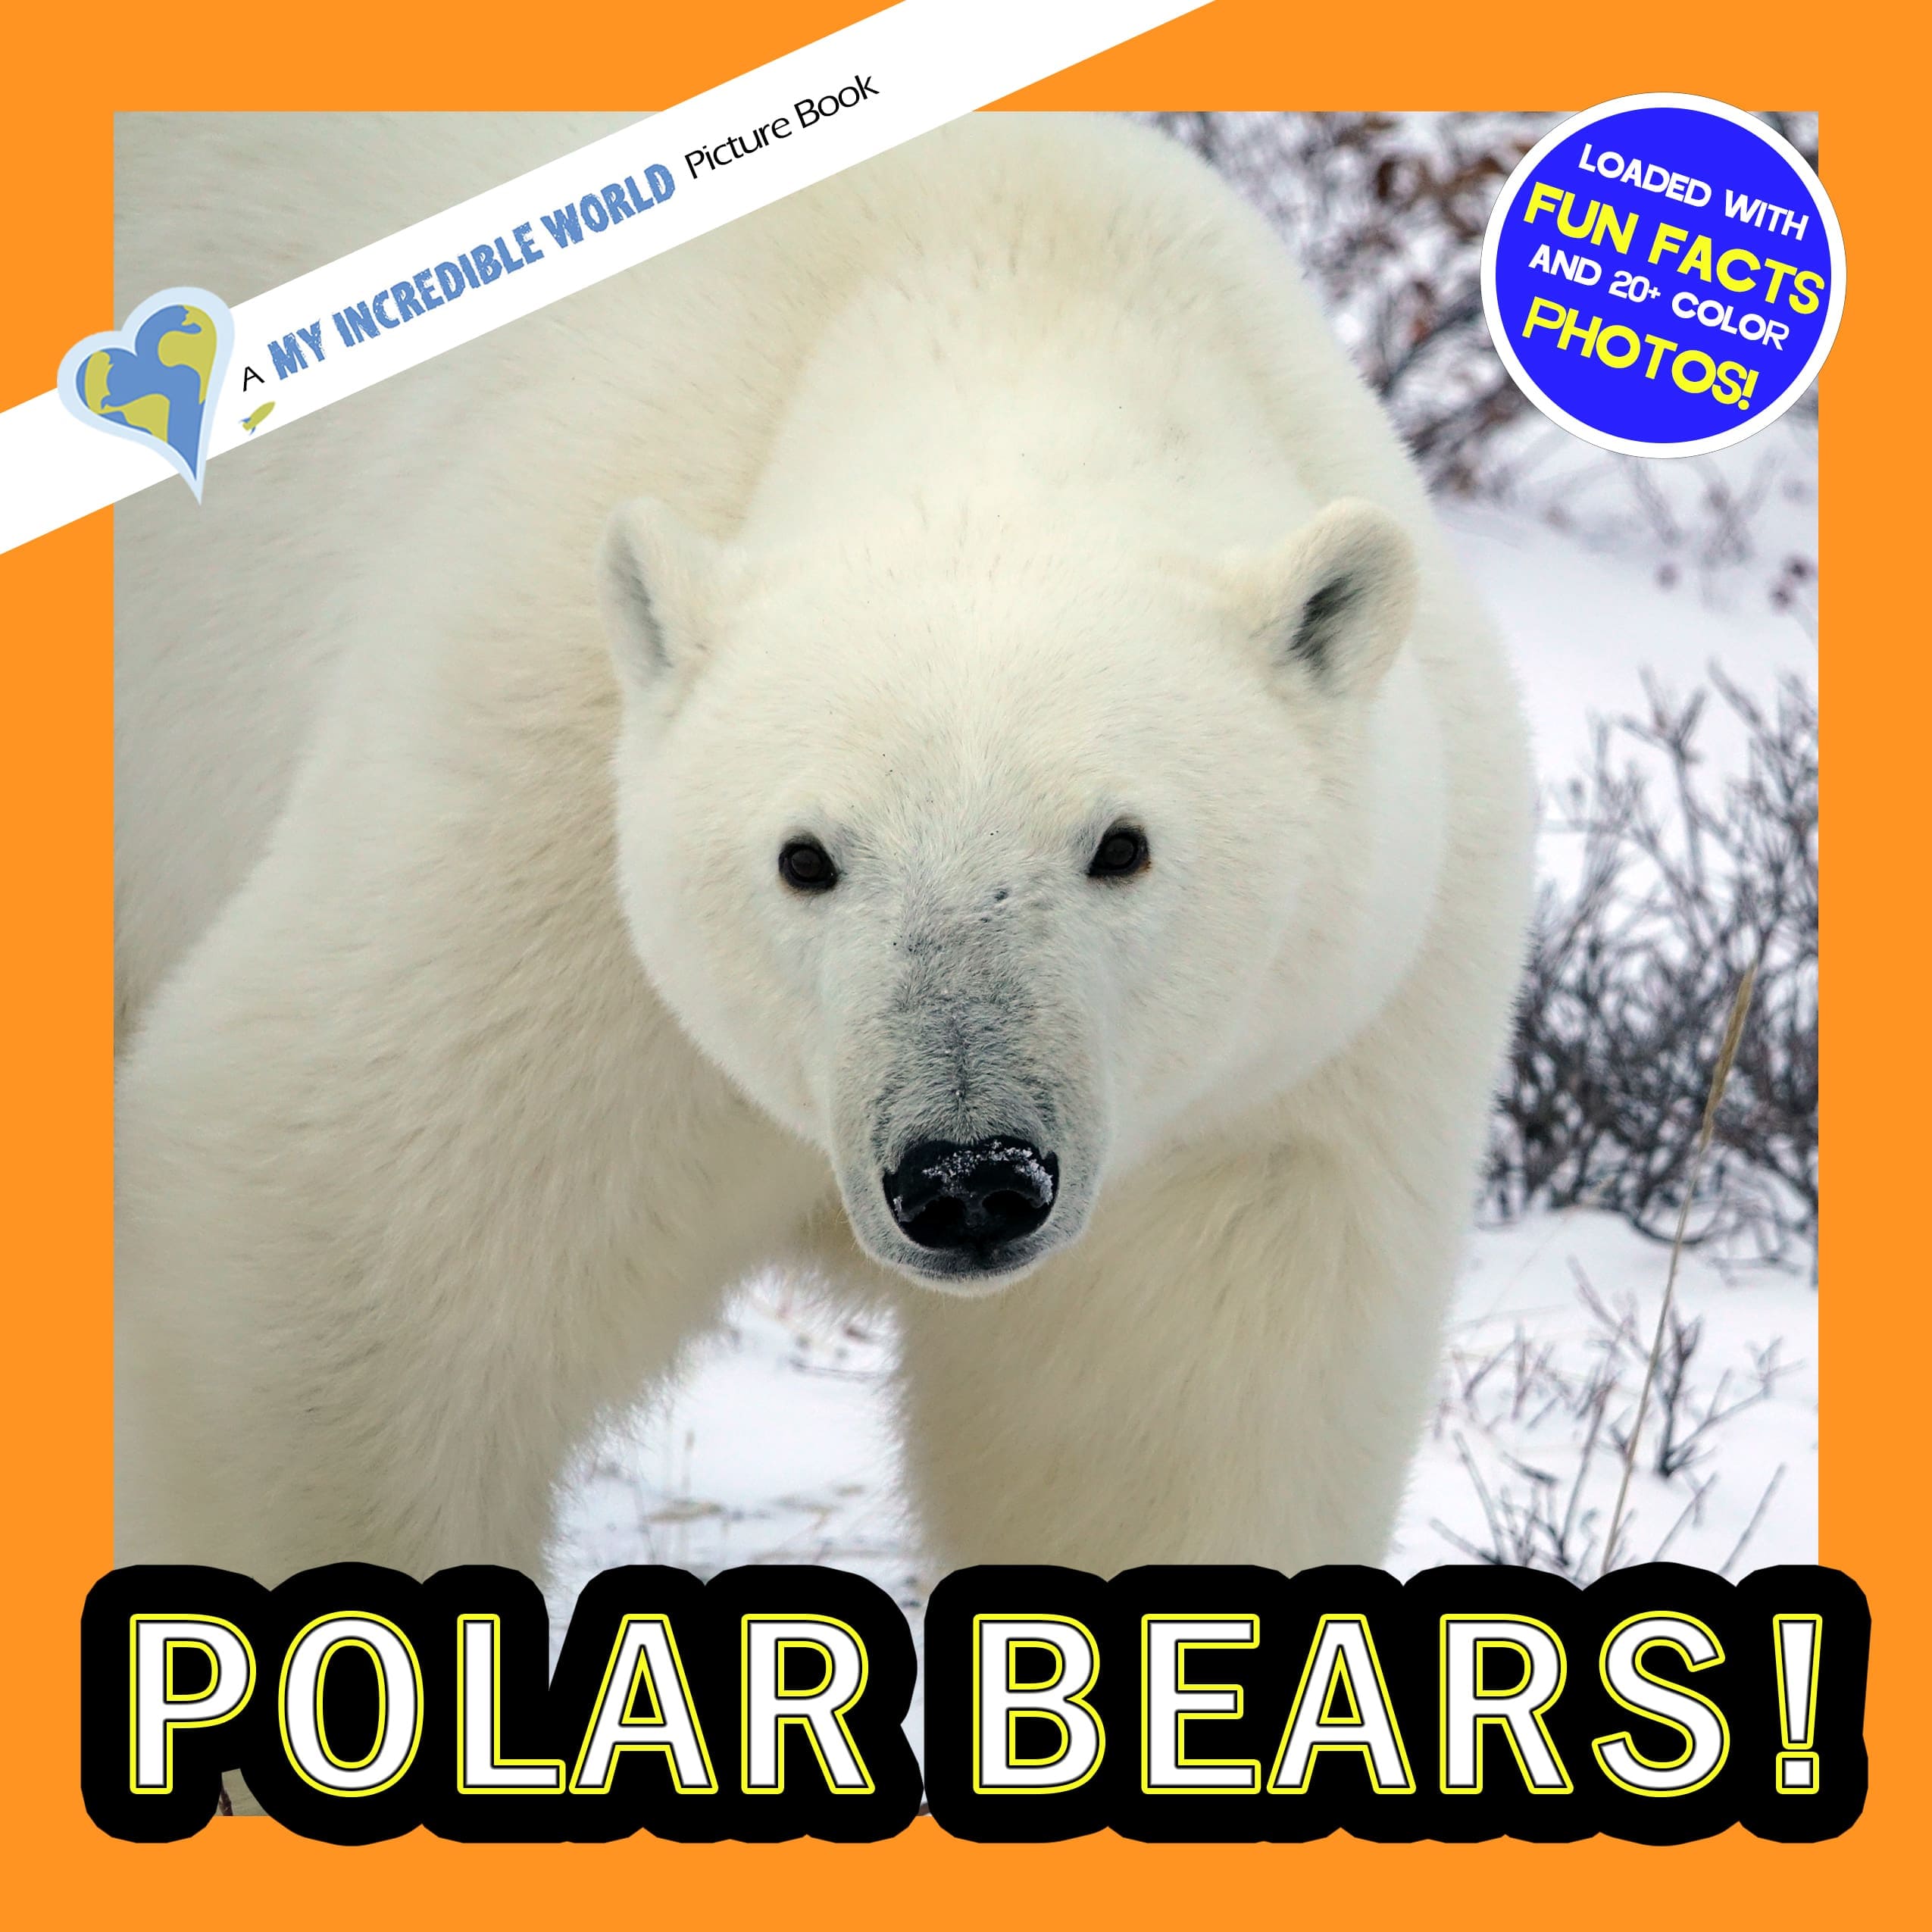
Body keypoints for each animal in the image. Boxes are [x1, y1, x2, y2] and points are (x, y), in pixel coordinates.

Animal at [114, 111, 1534, 1590]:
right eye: (808, 857)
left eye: (1120, 846)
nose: (968, 1175)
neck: (1009, 297)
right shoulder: (529, 834)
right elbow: (337, 1266)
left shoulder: (1284, 1084)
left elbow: (1173, 1442)